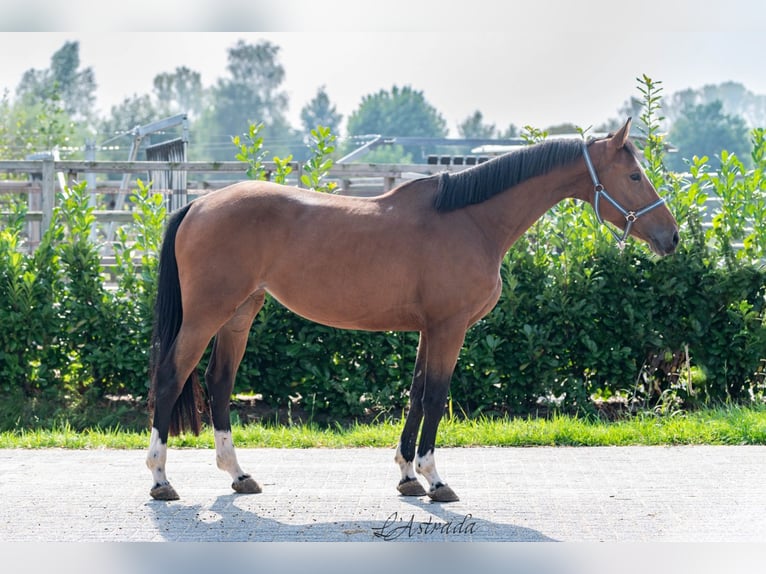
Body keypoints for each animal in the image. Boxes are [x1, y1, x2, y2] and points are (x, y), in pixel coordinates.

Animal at [146, 118, 680, 504]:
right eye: (634, 175)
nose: (671, 237)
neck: (471, 220)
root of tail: (198, 206)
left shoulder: (430, 329)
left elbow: (417, 394)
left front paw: (407, 476)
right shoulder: (450, 328)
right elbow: (437, 397)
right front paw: (434, 479)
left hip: (240, 312)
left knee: (218, 381)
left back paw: (238, 475)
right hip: (207, 315)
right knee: (172, 376)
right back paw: (160, 480)